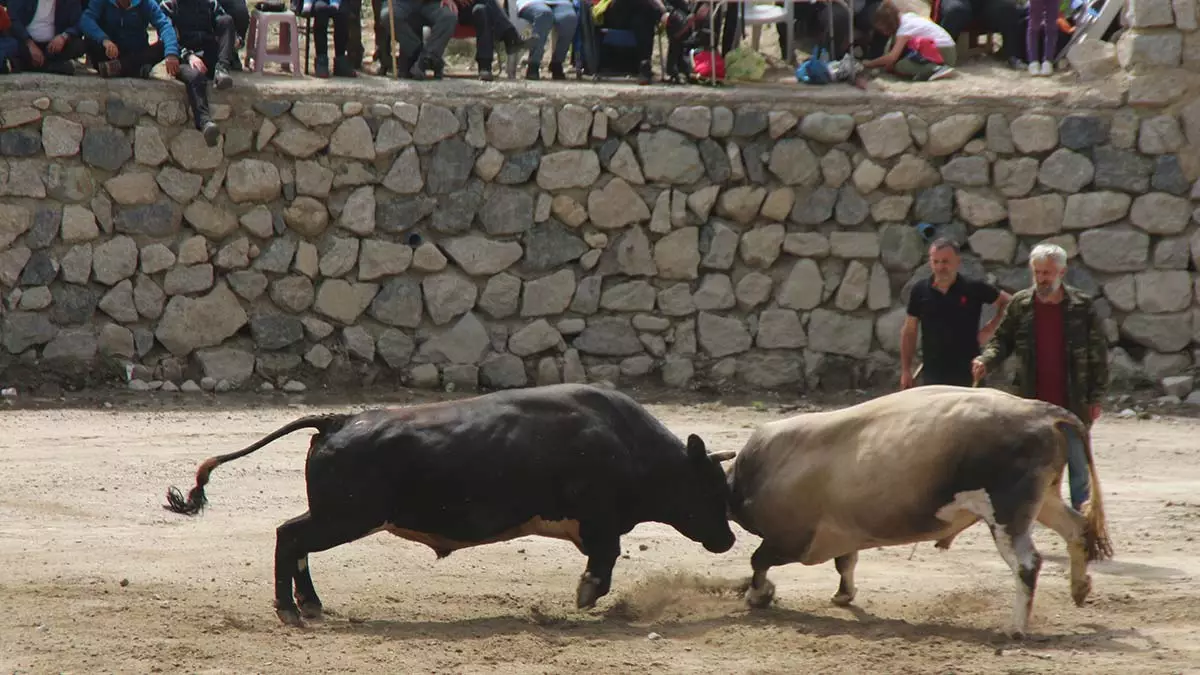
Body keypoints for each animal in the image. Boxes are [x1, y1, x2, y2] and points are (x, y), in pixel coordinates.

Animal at [164, 381, 734, 624]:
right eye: (711, 487)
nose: (728, 539)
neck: (627, 445)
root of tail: (339, 420)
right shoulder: (600, 520)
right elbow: (607, 558)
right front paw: (587, 595)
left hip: (339, 516)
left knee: (297, 542)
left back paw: (311, 604)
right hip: (344, 517)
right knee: (290, 536)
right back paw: (289, 608)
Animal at [720, 384, 1113, 634]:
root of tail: (1042, 411)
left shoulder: (790, 540)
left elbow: (758, 560)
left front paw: (757, 595)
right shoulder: (844, 530)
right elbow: (846, 563)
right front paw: (844, 595)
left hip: (1007, 514)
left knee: (1027, 565)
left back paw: (1015, 628)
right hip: (1043, 500)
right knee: (1077, 529)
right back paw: (1079, 588)